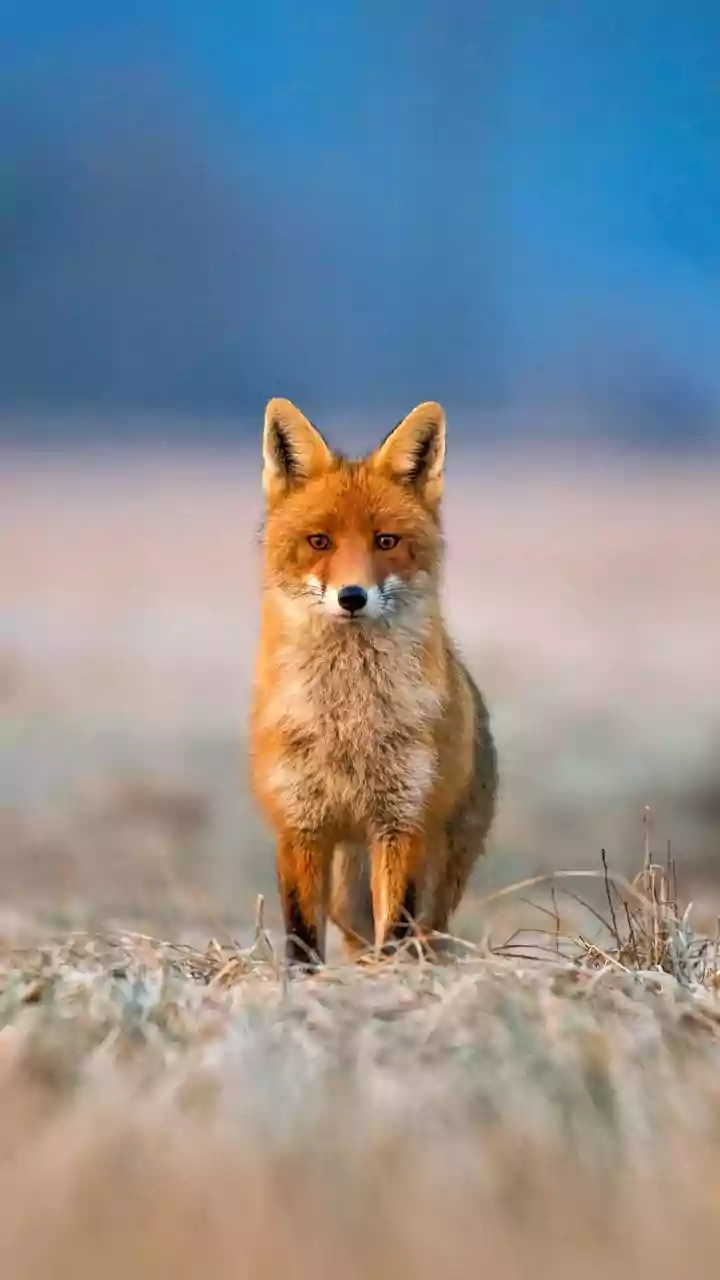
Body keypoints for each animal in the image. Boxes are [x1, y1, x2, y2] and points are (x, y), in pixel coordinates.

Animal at [250, 397, 497, 966]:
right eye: (319, 541)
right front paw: (303, 982)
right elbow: (301, 936)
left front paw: (391, 983)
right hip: (346, 893)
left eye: (386, 541)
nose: (352, 597)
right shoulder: (299, 826)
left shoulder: (401, 823)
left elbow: (397, 929)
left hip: (441, 869)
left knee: (427, 932)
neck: (348, 723)